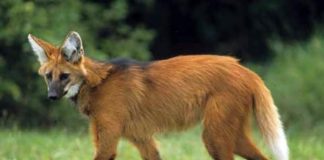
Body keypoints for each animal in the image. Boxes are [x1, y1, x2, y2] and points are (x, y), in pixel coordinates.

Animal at [27, 31, 288, 160]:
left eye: (64, 77)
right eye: (48, 76)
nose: (51, 97)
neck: (96, 83)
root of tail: (245, 69)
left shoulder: (110, 137)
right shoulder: (141, 138)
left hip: (214, 137)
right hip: (231, 133)